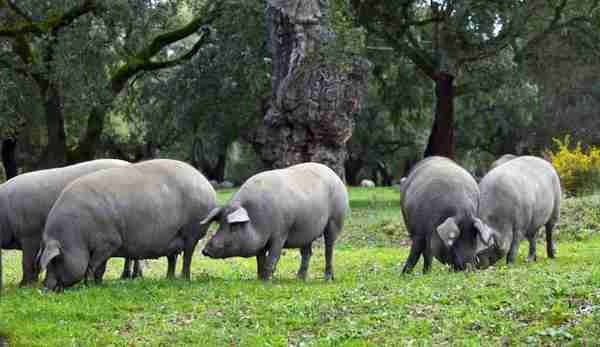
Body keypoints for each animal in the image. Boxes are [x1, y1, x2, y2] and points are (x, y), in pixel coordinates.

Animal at [0, 159, 138, 286]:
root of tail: (128, 163)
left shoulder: (30, 235)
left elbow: (27, 262)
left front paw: (23, 286)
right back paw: (131, 277)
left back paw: (128, 277)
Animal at [37, 160, 216, 290]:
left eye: (55, 261)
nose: (44, 286)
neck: (75, 237)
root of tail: (207, 185)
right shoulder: (107, 247)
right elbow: (100, 267)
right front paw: (99, 284)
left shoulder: (109, 242)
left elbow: (93, 265)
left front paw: (88, 286)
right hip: (172, 237)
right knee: (172, 258)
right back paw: (169, 279)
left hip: (192, 231)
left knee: (187, 256)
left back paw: (184, 279)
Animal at [200, 162, 346, 282]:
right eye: (220, 224)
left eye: (233, 226)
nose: (205, 250)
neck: (256, 219)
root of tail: (335, 175)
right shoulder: (261, 242)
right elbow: (260, 259)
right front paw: (259, 278)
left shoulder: (280, 233)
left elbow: (273, 257)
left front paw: (266, 280)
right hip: (306, 231)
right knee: (307, 253)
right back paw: (299, 279)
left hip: (334, 220)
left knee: (329, 250)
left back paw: (327, 279)